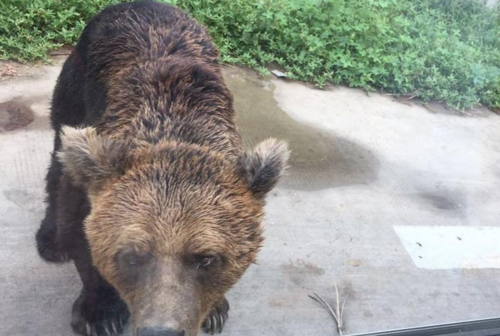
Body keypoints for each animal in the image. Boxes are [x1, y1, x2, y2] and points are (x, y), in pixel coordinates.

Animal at [36, 2, 290, 336]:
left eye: (206, 259)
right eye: (131, 256)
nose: (160, 330)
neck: (175, 122)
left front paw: (215, 310)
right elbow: (79, 226)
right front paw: (100, 313)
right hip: (75, 87)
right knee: (58, 155)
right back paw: (51, 241)